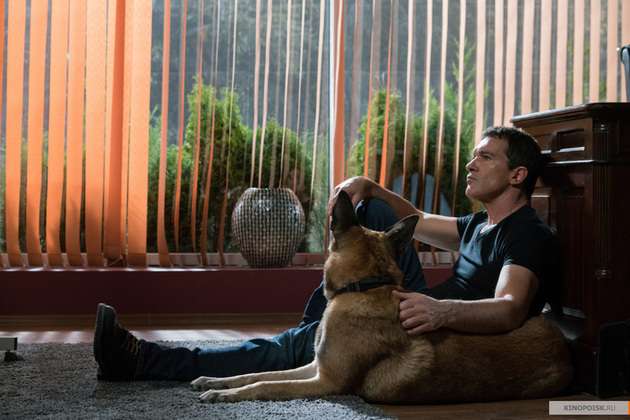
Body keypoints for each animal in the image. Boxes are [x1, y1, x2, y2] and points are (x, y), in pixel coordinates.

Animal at [192, 191, 574, 404]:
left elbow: (263, 385)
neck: (366, 286)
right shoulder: (315, 367)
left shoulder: (327, 382)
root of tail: (564, 347)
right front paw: (216, 381)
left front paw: (225, 395)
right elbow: (258, 374)